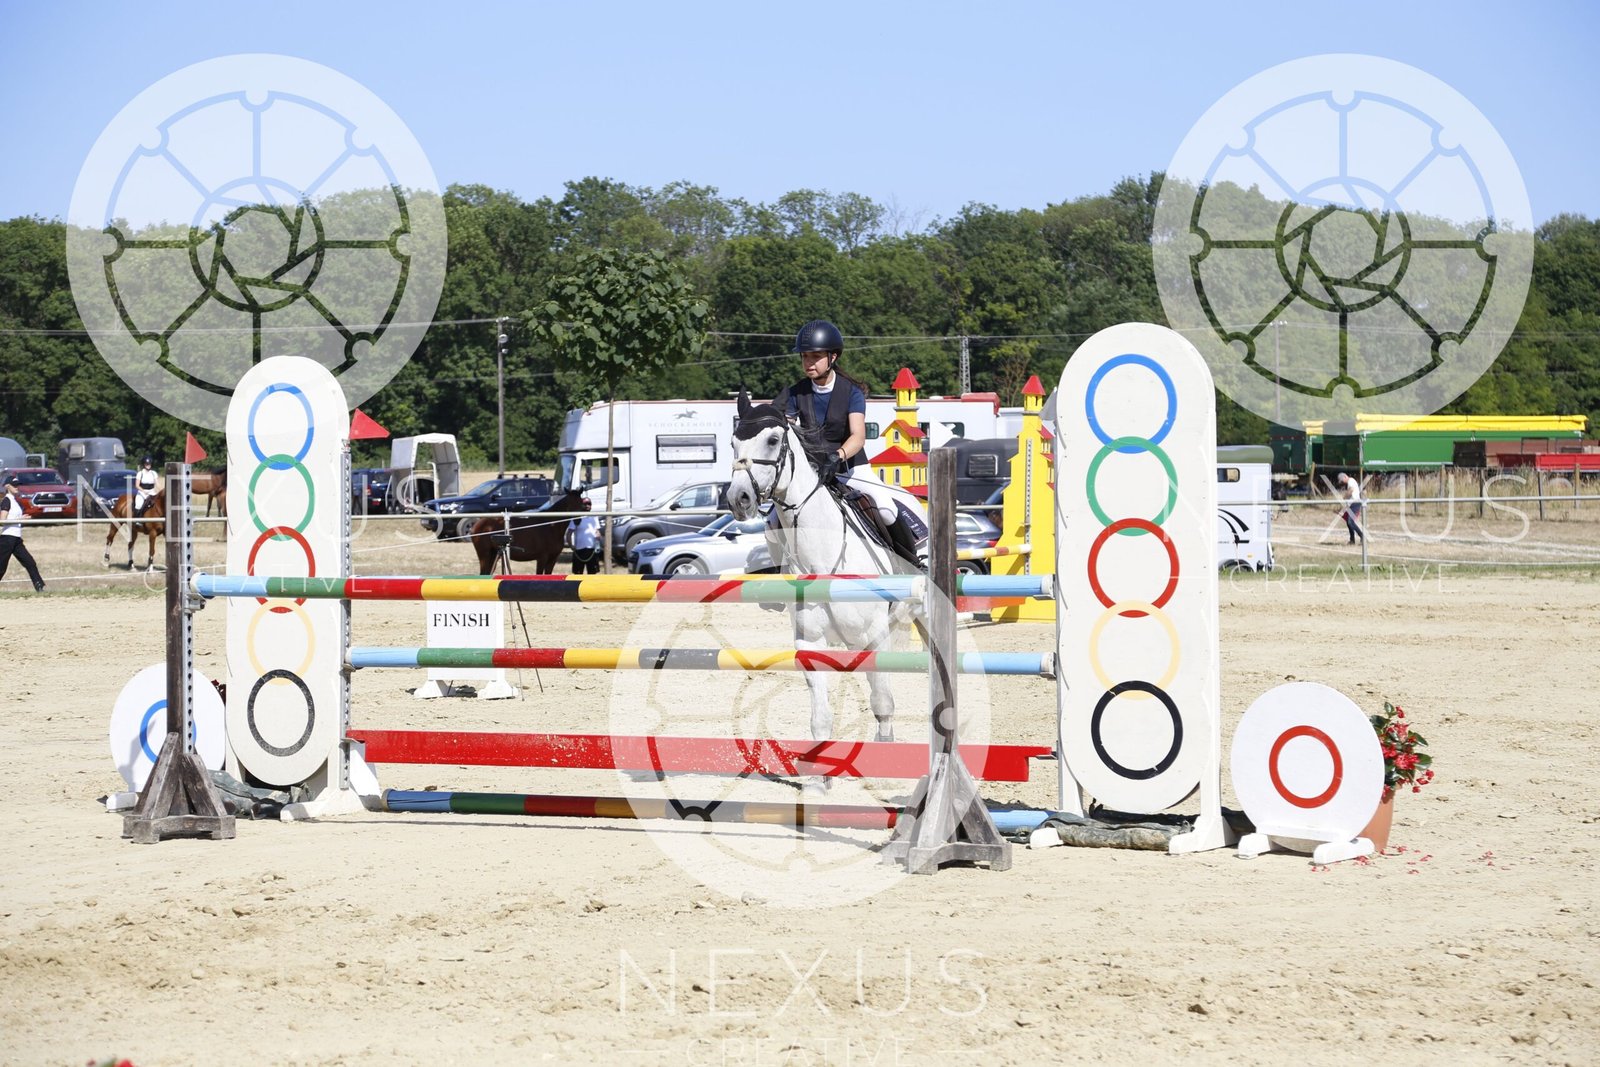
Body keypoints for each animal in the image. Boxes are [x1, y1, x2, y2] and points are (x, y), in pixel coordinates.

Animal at [727, 391, 921, 767]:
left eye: (773, 440)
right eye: (733, 443)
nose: (738, 499)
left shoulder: (875, 634)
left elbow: (882, 700)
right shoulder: (810, 642)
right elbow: (820, 718)